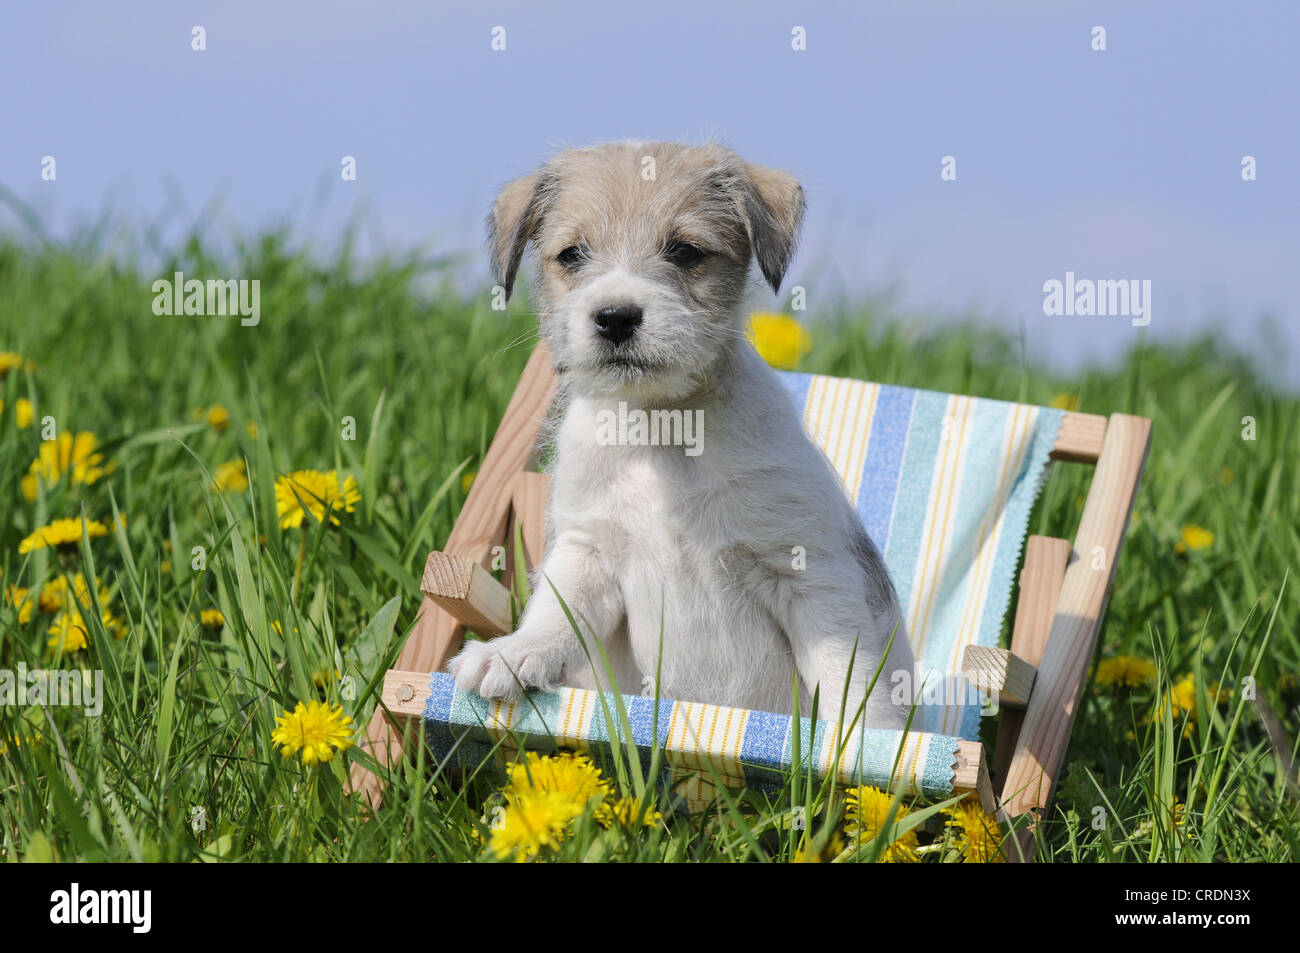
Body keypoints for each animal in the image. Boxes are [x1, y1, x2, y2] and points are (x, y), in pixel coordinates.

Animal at [449, 139, 915, 728]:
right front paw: (514, 653)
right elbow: (556, 614)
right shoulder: (587, 551)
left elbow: (844, 675)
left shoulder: (809, 571)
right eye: (572, 255)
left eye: (686, 252)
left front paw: (868, 737)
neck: (664, 430)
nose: (615, 317)